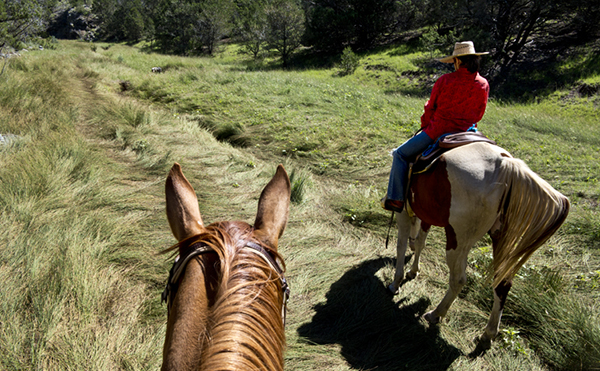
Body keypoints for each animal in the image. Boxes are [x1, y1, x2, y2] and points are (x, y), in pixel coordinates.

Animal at [386, 142, 568, 348]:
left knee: (458, 280)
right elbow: (421, 242)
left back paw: (436, 314)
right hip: (500, 240)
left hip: (457, 240)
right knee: (503, 283)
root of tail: (504, 165)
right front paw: (413, 270)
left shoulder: (403, 213)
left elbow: (401, 245)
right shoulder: (426, 214)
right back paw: (488, 333)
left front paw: (396, 282)